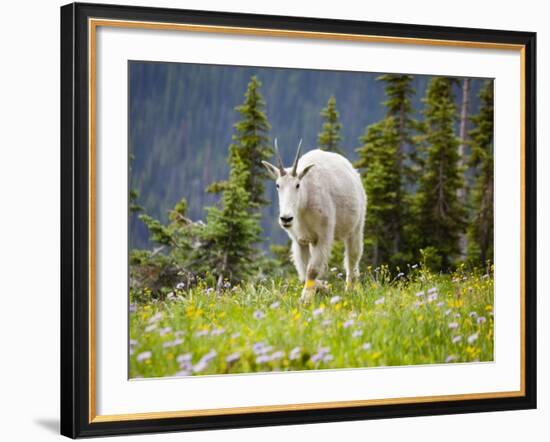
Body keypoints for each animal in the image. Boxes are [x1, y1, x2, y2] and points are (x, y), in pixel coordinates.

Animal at [262, 140, 366, 302]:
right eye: (277, 185)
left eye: (297, 185)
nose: (286, 218)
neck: (303, 205)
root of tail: (353, 172)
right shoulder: (300, 240)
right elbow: (304, 272)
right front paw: (323, 287)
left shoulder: (324, 235)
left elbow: (312, 269)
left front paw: (305, 299)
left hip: (356, 227)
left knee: (352, 259)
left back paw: (350, 290)